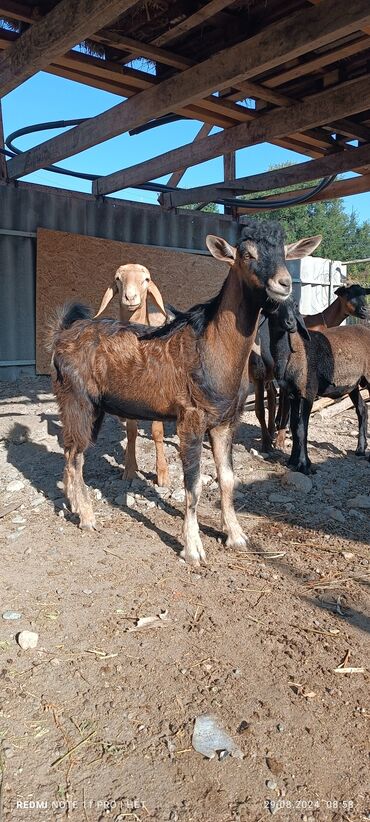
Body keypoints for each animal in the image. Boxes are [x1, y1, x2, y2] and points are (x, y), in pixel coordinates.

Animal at [95, 262, 171, 482]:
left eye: (146, 279)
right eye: (118, 279)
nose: (130, 297)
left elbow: (157, 432)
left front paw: (162, 474)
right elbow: (131, 431)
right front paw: (129, 469)